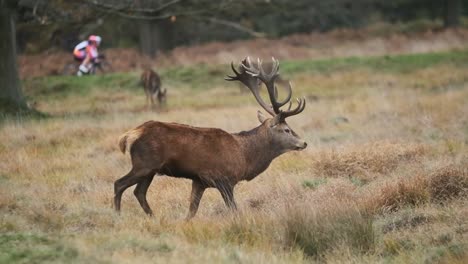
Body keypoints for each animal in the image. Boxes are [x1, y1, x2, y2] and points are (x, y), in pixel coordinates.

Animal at [116, 57, 308, 219]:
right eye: (287, 130)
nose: (304, 143)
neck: (245, 156)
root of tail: (128, 135)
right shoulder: (224, 180)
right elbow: (233, 209)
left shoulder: (199, 181)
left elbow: (191, 211)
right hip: (144, 164)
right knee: (119, 183)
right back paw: (117, 215)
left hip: (150, 170)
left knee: (139, 192)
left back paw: (153, 217)